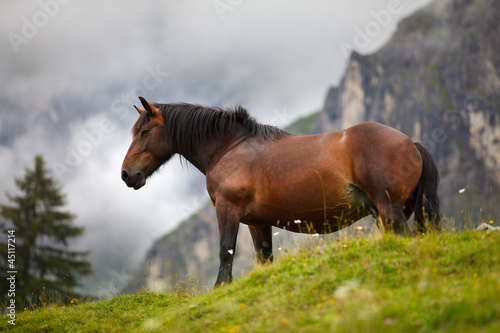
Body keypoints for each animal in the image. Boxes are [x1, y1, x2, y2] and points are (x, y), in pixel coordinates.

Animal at [122, 96, 442, 286]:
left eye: (145, 132)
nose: (126, 174)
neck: (229, 148)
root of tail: (411, 143)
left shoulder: (228, 210)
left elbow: (226, 251)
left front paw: (221, 287)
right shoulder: (257, 222)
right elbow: (264, 259)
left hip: (390, 211)